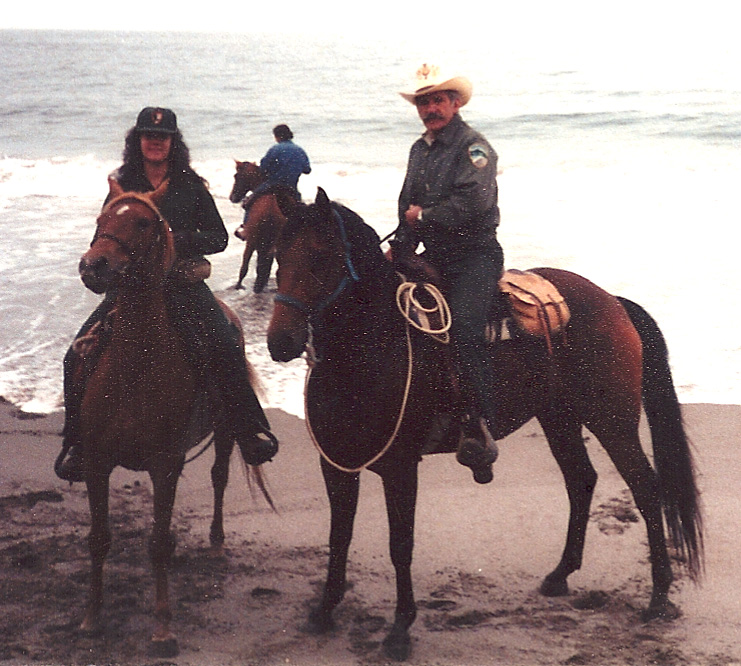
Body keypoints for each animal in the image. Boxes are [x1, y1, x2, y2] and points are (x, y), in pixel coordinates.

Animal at [74, 176, 268, 652]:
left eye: (144, 222)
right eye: (101, 218)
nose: (93, 267)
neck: (134, 364)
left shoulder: (163, 462)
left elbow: (157, 543)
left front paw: (163, 628)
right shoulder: (97, 462)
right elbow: (99, 539)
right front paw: (91, 617)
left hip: (225, 430)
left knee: (219, 477)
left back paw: (215, 543)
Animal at [264, 189, 700, 660]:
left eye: (321, 256)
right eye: (277, 254)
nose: (281, 341)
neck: (370, 347)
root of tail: (614, 301)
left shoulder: (400, 467)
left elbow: (401, 545)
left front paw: (400, 629)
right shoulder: (337, 464)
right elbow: (338, 536)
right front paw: (325, 610)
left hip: (612, 420)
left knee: (646, 488)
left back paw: (658, 597)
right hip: (558, 418)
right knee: (581, 480)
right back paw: (561, 574)